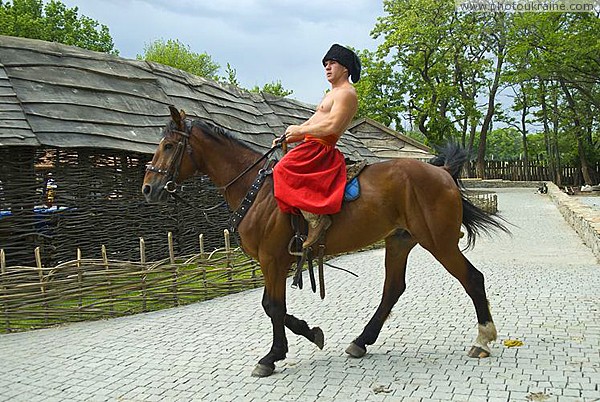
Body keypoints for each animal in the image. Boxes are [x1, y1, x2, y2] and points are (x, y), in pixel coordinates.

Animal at [142, 106, 510, 376]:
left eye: (169, 146)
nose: (148, 188)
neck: (257, 191)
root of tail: (443, 172)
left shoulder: (272, 259)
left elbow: (273, 306)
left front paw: (273, 355)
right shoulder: (275, 262)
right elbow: (274, 307)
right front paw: (309, 333)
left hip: (439, 243)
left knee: (472, 279)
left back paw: (483, 339)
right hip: (399, 242)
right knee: (393, 289)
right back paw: (362, 341)